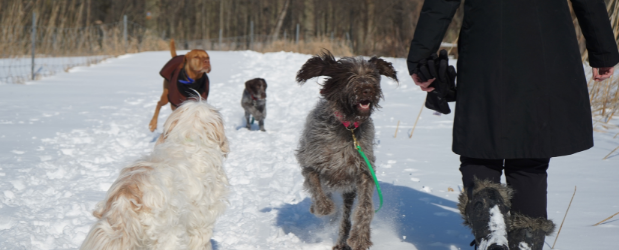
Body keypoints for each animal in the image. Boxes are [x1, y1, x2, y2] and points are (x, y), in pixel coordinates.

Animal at [296, 49, 398, 249]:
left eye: (372, 75)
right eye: (350, 75)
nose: (368, 89)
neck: (348, 127)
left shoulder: (363, 172)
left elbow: (365, 207)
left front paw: (360, 237)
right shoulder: (310, 164)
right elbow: (317, 191)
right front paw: (323, 208)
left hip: (348, 192)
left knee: (345, 219)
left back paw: (342, 241)